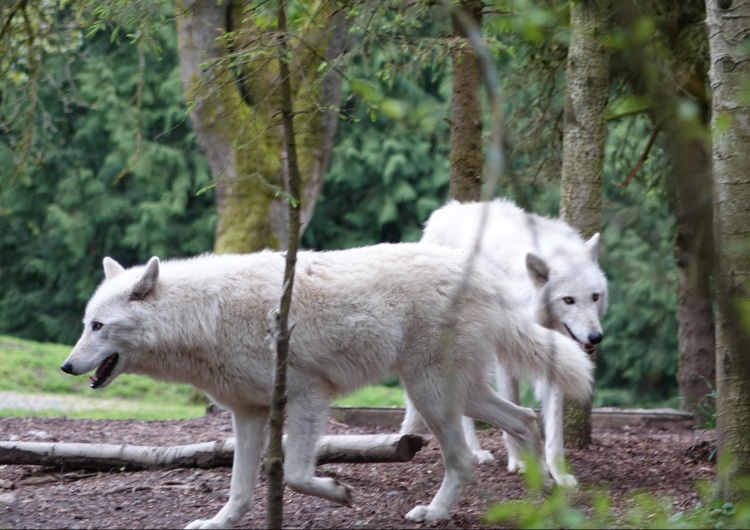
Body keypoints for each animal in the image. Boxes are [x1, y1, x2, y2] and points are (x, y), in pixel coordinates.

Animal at [61, 242, 596, 524]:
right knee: (524, 419)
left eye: (98, 326)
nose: (67, 366)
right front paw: (218, 523)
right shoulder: (247, 414)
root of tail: (486, 279)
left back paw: (435, 513)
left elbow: (296, 475)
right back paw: (544, 497)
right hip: (458, 394)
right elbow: (239, 489)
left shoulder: (306, 396)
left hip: (431, 396)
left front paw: (339, 493)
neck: (203, 317)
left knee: (465, 459)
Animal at [402, 199, 608, 486]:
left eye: (595, 297)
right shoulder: (507, 359)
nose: (595, 337)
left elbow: (554, 428)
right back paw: (475, 452)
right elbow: (513, 404)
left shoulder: (555, 360)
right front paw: (521, 462)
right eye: (568, 300)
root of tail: (445, 211)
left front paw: (559, 473)